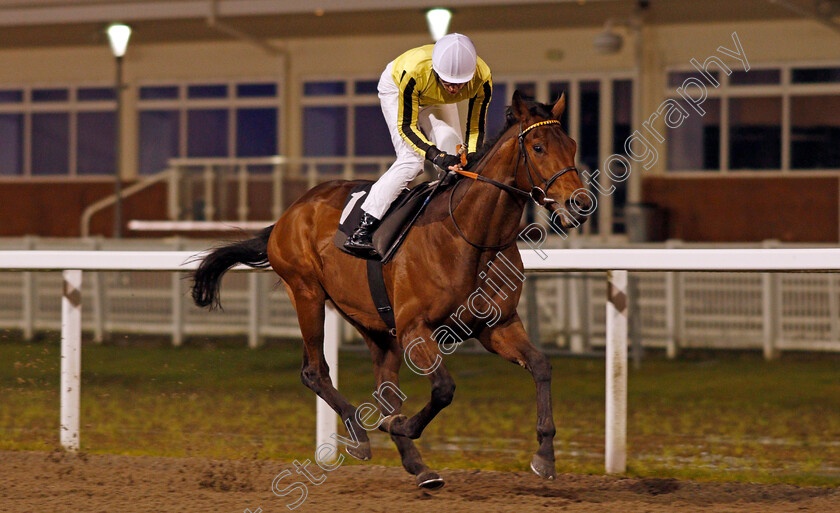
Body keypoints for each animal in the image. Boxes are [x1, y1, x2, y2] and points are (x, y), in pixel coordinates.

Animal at [194, 91, 592, 488]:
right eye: (538, 147)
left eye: (572, 145)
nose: (580, 203)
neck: (471, 236)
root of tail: (288, 214)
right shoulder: (416, 329)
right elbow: (443, 389)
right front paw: (399, 426)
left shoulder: (497, 326)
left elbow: (540, 365)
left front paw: (545, 454)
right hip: (307, 294)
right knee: (315, 371)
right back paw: (361, 435)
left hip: (371, 320)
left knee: (384, 386)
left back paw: (418, 466)